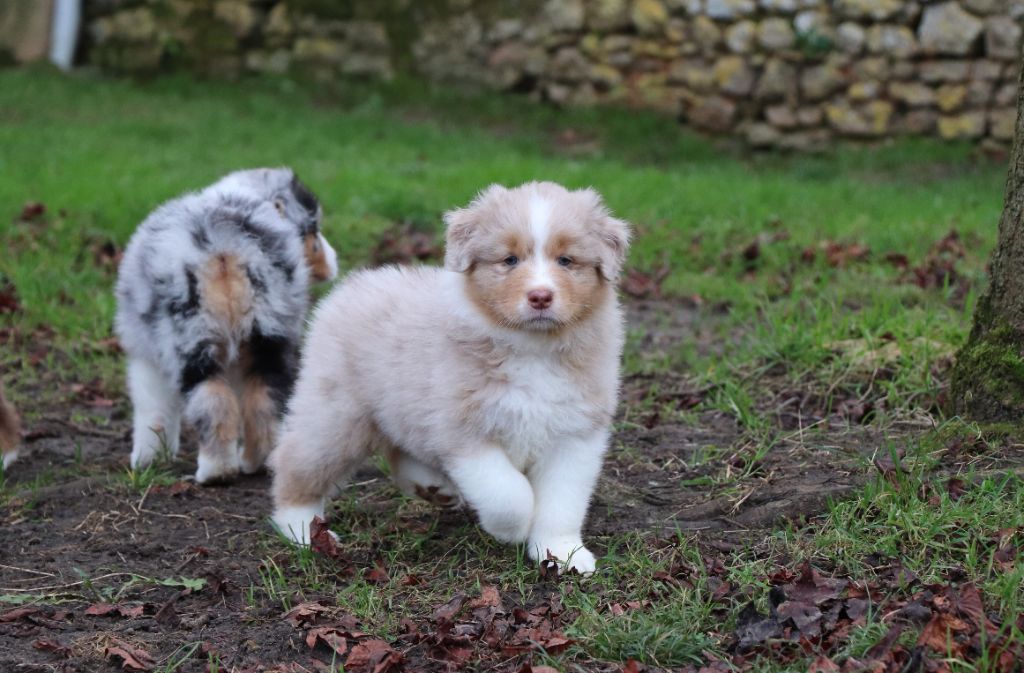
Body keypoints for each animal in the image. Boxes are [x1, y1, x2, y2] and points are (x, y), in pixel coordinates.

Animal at [115, 167, 339, 483]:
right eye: (314, 232)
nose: (335, 260)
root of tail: (225, 242)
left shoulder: (147, 358)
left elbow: (153, 411)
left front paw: (148, 460)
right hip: (269, 334)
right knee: (265, 400)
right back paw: (258, 462)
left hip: (190, 339)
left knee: (213, 404)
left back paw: (214, 472)